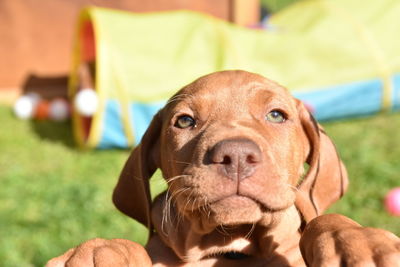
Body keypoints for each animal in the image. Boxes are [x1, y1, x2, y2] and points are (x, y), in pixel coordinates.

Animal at [48, 70, 398, 266]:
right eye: (184, 121)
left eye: (276, 115)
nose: (236, 155)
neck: (231, 247)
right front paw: (98, 252)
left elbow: (325, 219)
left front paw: (360, 244)